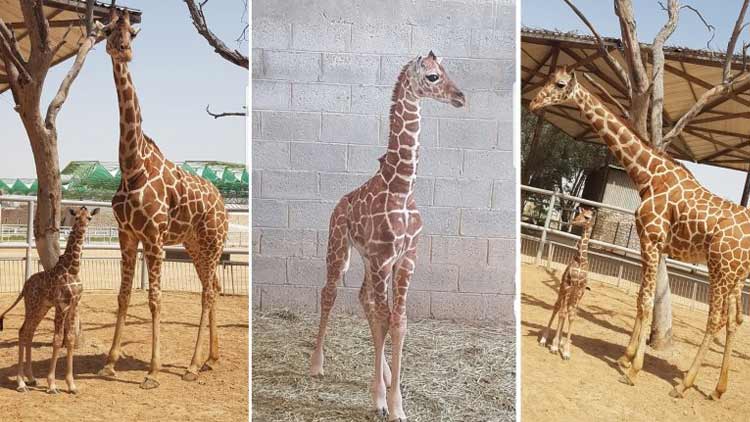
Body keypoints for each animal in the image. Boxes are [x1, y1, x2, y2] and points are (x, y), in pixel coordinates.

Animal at [0, 206, 99, 394]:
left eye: (89, 217)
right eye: (76, 217)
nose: (83, 229)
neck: (73, 269)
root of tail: (25, 286)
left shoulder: (74, 305)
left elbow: (70, 339)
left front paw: (71, 385)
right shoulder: (61, 305)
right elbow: (57, 339)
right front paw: (52, 385)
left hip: (42, 307)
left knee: (29, 332)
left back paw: (31, 378)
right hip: (32, 305)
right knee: (22, 332)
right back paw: (21, 383)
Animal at [96, 8, 229, 389]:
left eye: (131, 33)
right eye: (108, 31)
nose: (123, 50)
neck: (132, 166)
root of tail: (223, 203)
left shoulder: (154, 239)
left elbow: (155, 299)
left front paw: (153, 371)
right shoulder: (127, 236)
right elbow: (124, 296)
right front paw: (109, 363)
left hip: (213, 242)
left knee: (208, 291)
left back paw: (191, 365)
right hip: (194, 245)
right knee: (212, 286)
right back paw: (210, 358)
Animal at [308, 51, 465, 421]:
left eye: (447, 71)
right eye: (433, 76)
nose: (461, 97)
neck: (403, 186)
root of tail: (338, 204)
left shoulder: (405, 258)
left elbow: (399, 320)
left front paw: (396, 401)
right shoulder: (383, 259)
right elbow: (384, 319)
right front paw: (382, 401)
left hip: (368, 260)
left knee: (365, 299)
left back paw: (386, 374)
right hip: (339, 248)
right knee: (330, 293)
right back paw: (317, 365)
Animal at [539, 206, 595, 360]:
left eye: (587, 217)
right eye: (579, 213)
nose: (573, 221)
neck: (581, 261)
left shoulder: (579, 290)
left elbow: (572, 315)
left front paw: (566, 351)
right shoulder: (568, 286)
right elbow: (562, 313)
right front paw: (554, 346)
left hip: (571, 295)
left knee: (566, 310)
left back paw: (561, 342)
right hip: (562, 291)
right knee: (557, 308)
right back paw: (545, 339)